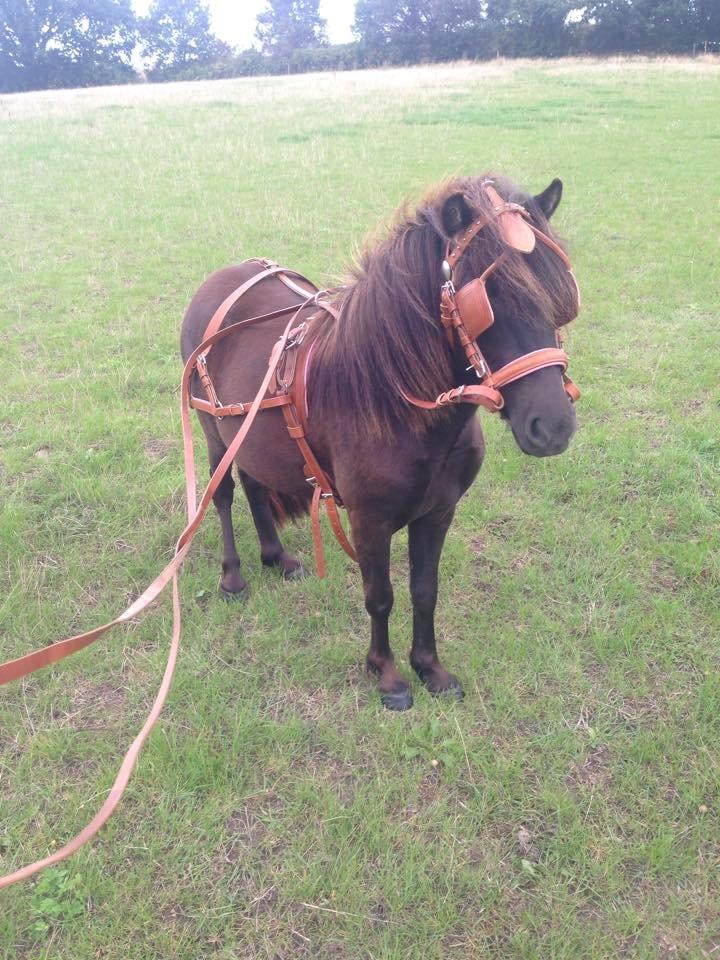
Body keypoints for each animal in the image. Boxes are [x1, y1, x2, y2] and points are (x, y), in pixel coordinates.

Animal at [180, 174, 580, 712]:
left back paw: (276, 557)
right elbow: (381, 596)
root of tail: (224, 277)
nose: (552, 425)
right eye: (486, 296)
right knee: (222, 494)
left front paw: (430, 667)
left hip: (247, 432)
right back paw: (233, 576)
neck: (396, 400)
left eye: (558, 289)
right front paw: (386, 674)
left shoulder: (438, 512)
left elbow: (425, 590)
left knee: (254, 482)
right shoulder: (368, 521)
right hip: (212, 432)